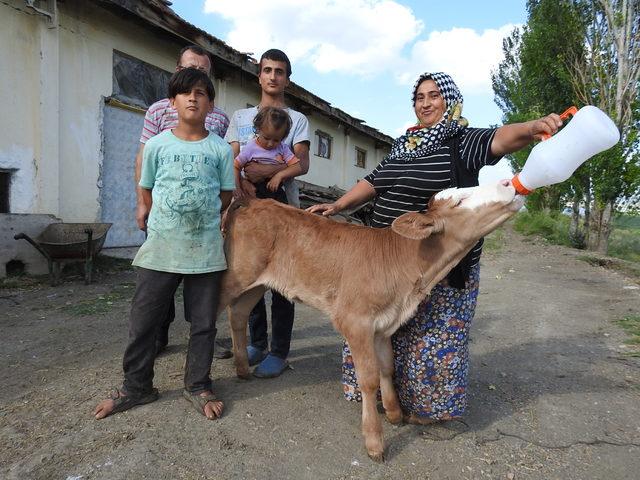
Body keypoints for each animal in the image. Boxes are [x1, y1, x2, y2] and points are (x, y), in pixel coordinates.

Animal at [220, 181, 524, 462]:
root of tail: (251, 201)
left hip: (258, 283)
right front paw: (375, 441)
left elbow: (387, 368)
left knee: (238, 313)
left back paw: (243, 369)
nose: (508, 183)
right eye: (459, 201)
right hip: (237, 274)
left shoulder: (384, 325)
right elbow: (368, 379)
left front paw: (394, 412)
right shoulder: (355, 322)